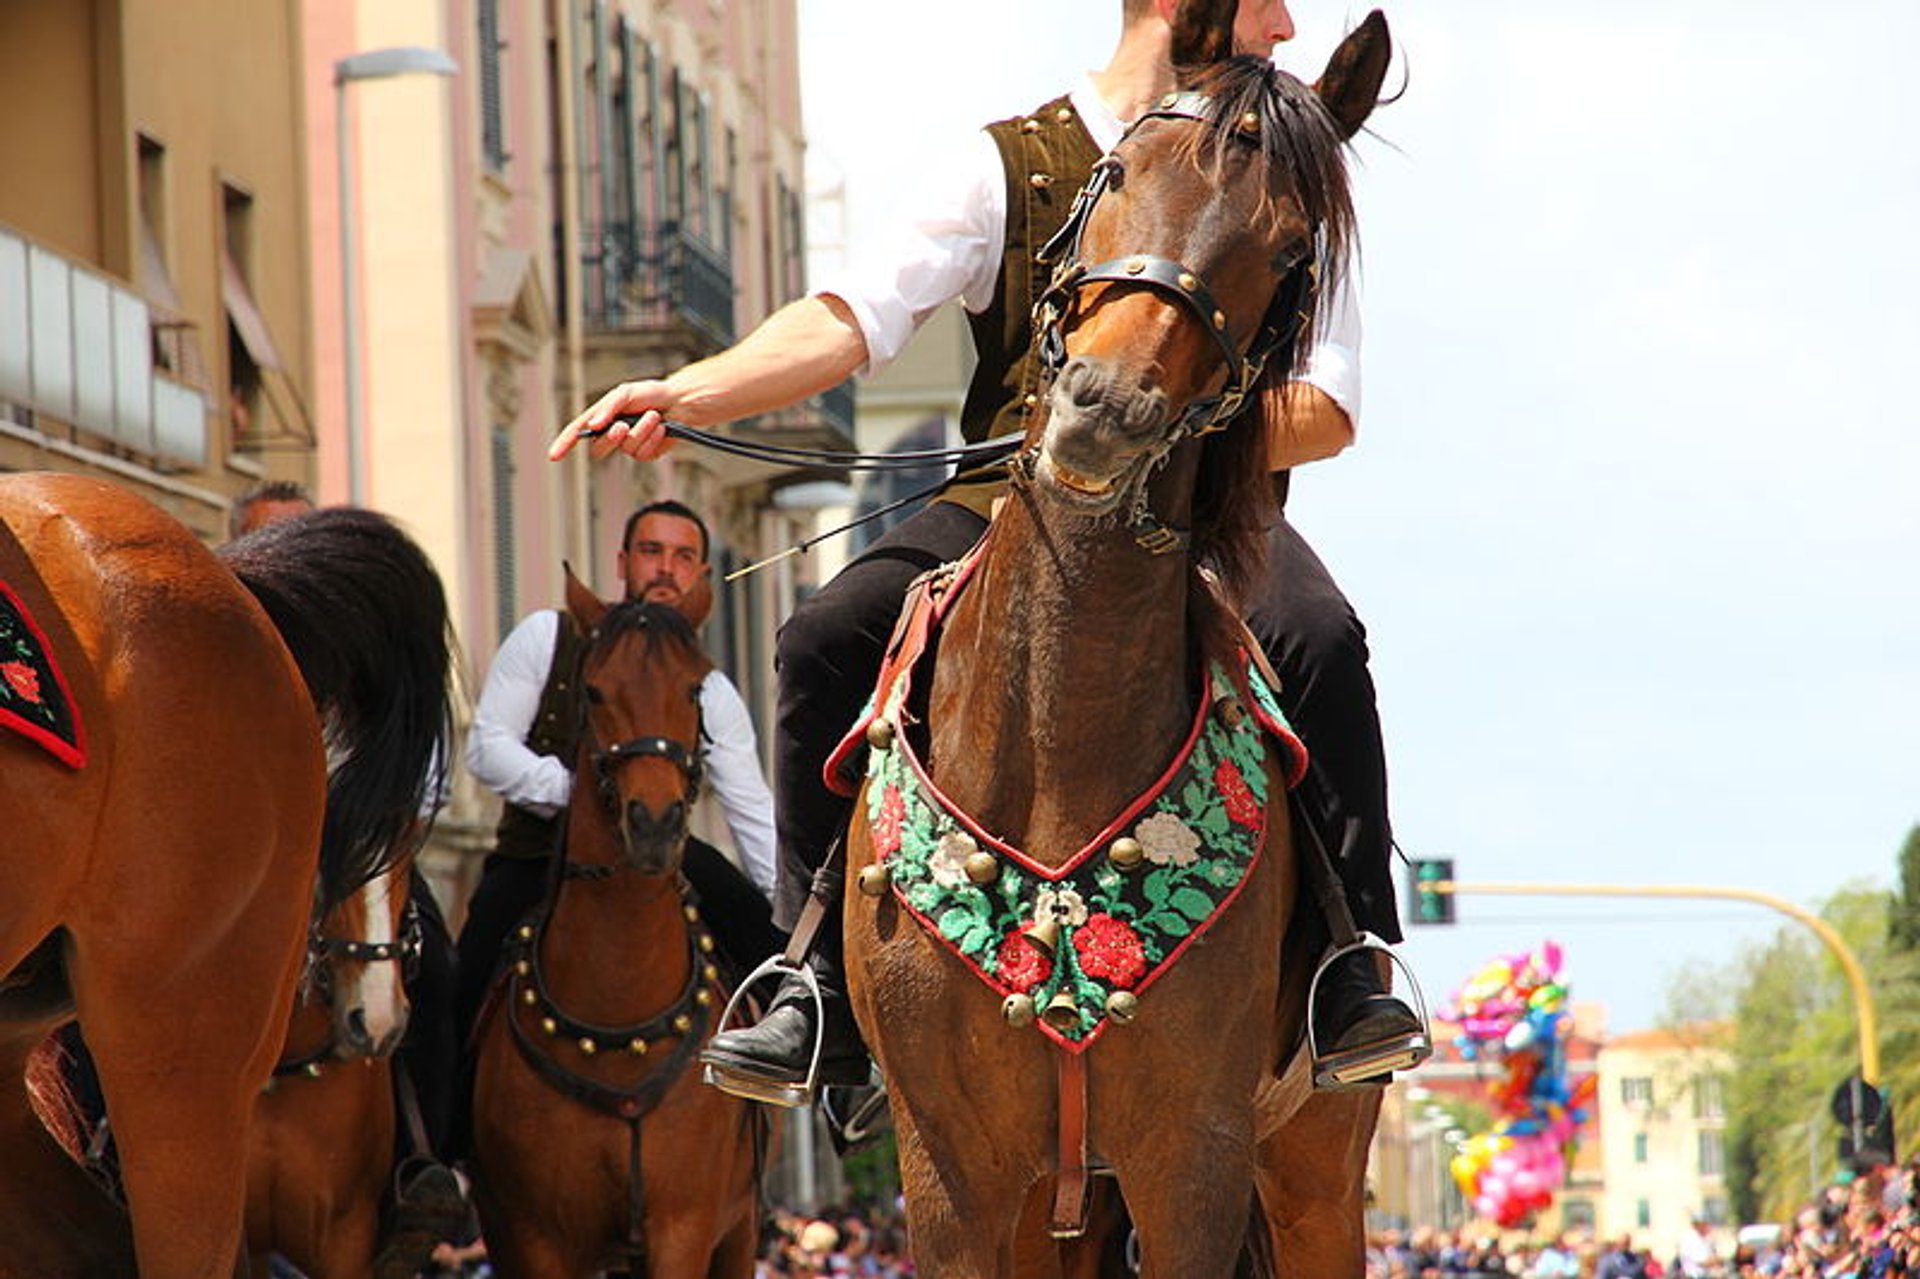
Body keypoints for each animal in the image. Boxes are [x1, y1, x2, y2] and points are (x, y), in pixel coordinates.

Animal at [468, 572, 760, 1267]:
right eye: (594, 690)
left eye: (694, 689)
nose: (653, 823)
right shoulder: (537, 1237)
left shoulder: (684, 1228)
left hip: (739, 1231)